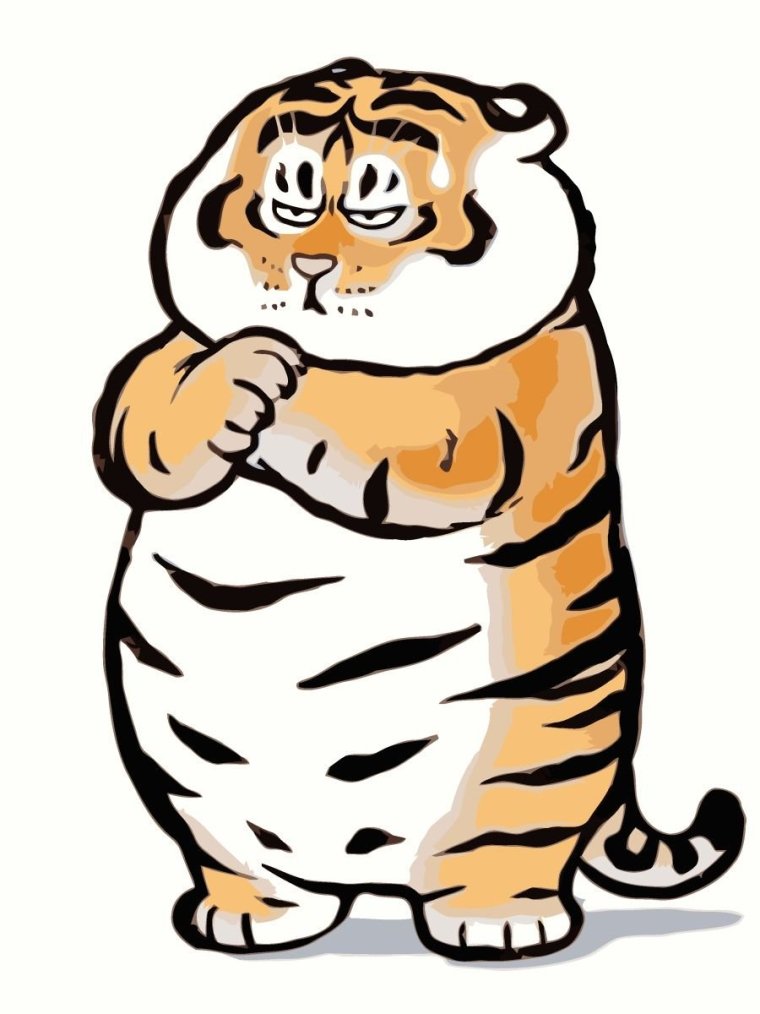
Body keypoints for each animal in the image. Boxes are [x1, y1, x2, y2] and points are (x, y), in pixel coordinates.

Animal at [93, 58, 745, 961]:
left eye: (378, 206)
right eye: (290, 196)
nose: (309, 270)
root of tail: (365, 881)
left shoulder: (491, 406)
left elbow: (369, 405)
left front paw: (272, 368)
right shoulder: (170, 351)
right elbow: (144, 397)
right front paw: (229, 379)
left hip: (533, 749)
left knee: (501, 851)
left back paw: (500, 924)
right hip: (195, 784)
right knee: (256, 867)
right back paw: (251, 918)